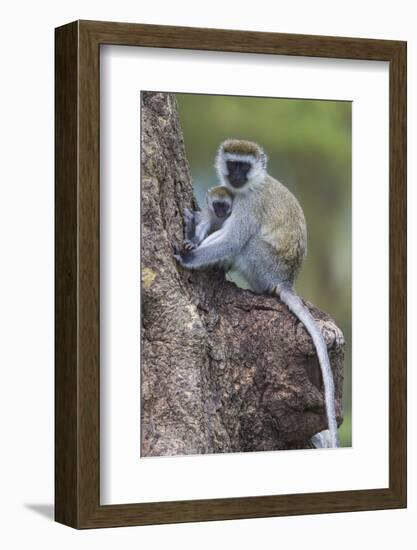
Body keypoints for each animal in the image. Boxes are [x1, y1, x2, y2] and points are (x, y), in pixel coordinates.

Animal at [174, 140, 340, 450]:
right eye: (233, 164)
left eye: (244, 166)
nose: (236, 176)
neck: (250, 186)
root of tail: (284, 281)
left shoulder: (248, 205)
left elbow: (234, 239)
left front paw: (190, 256)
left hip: (262, 263)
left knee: (246, 243)